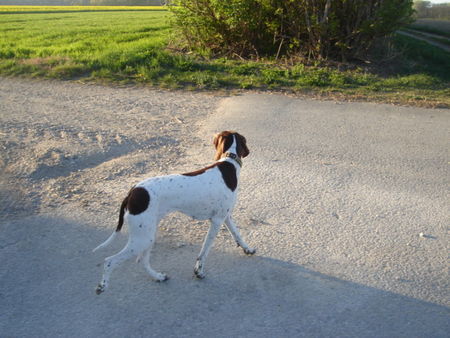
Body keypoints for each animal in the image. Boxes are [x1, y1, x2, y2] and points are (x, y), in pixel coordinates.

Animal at [94, 131, 256, 294]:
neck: (229, 163)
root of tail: (132, 192)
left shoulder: (226, 216)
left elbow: (237, 234)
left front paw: (247, 249)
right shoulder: (217, 220)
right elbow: (204, 251)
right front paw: (199, 271)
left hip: (147, 235)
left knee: (142, 261)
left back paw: (158, 277)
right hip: (142, 238)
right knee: (110, 261)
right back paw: (102, 286)